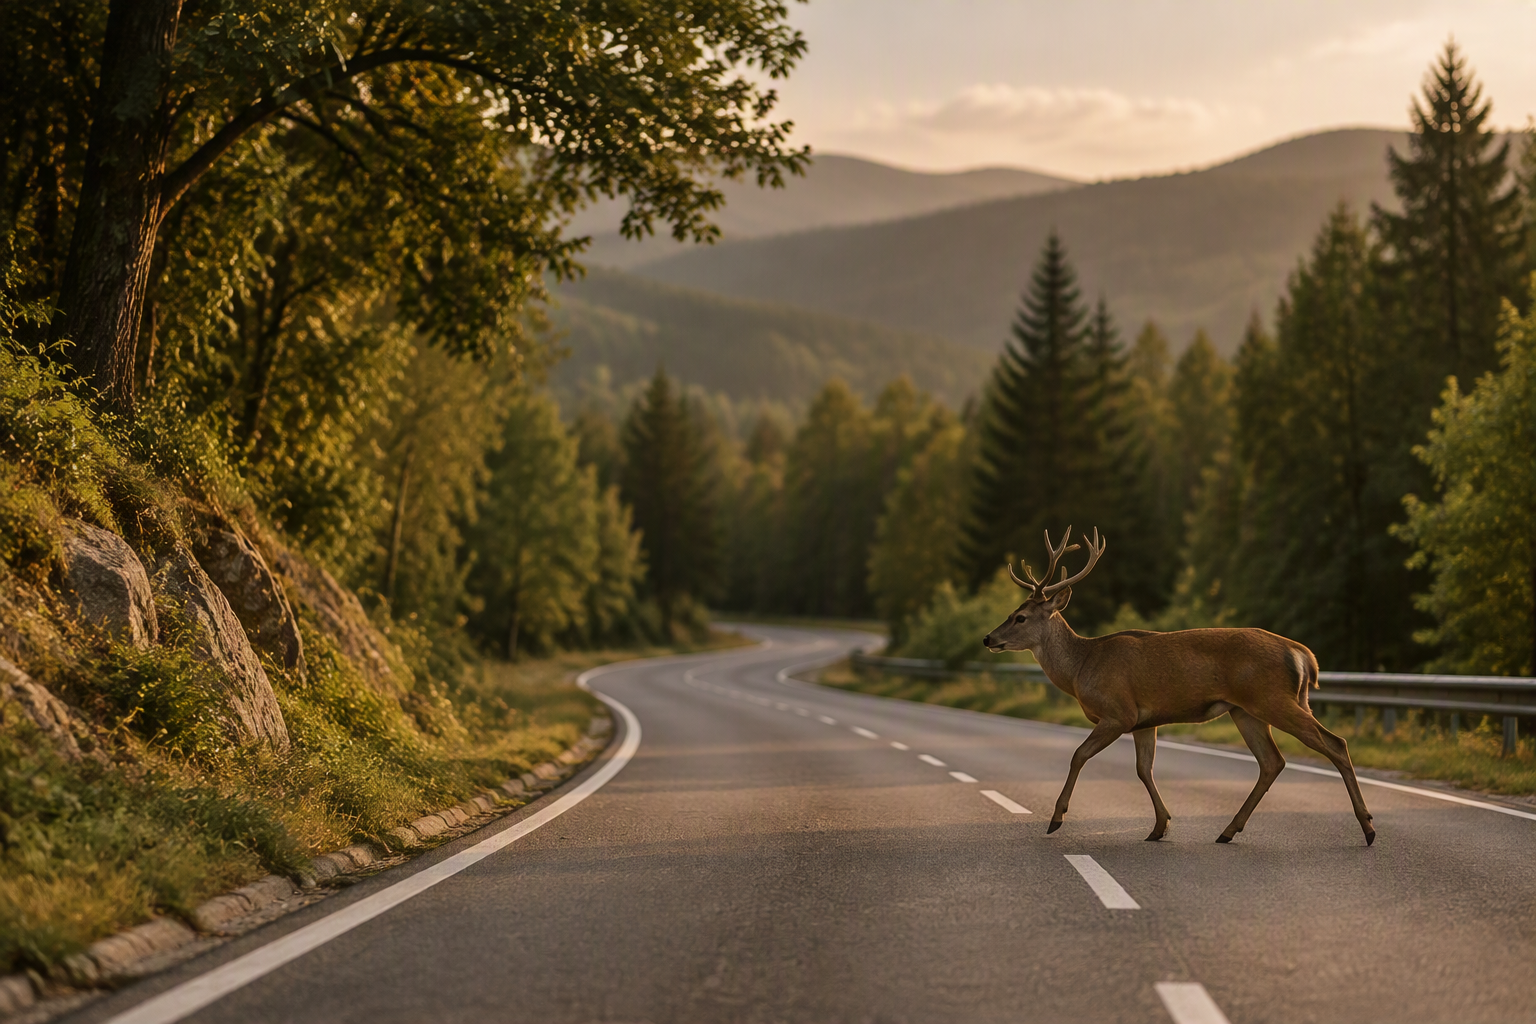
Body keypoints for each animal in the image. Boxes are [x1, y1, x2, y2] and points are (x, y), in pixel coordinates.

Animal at [981, 527, 1375, 846]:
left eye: (1020, 617)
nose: (988, 638)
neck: (1081, 668)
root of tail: (1303, 654)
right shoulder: (1145, 721)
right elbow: (1144, 769)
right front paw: (1160, 826)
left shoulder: (1119, 712)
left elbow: (1079, 755)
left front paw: (1056, 818)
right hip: (1247, 709)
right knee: (1272, 762)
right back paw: (1228, 831)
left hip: (1272, 698)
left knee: (1334, 743)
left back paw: (1368, 828)